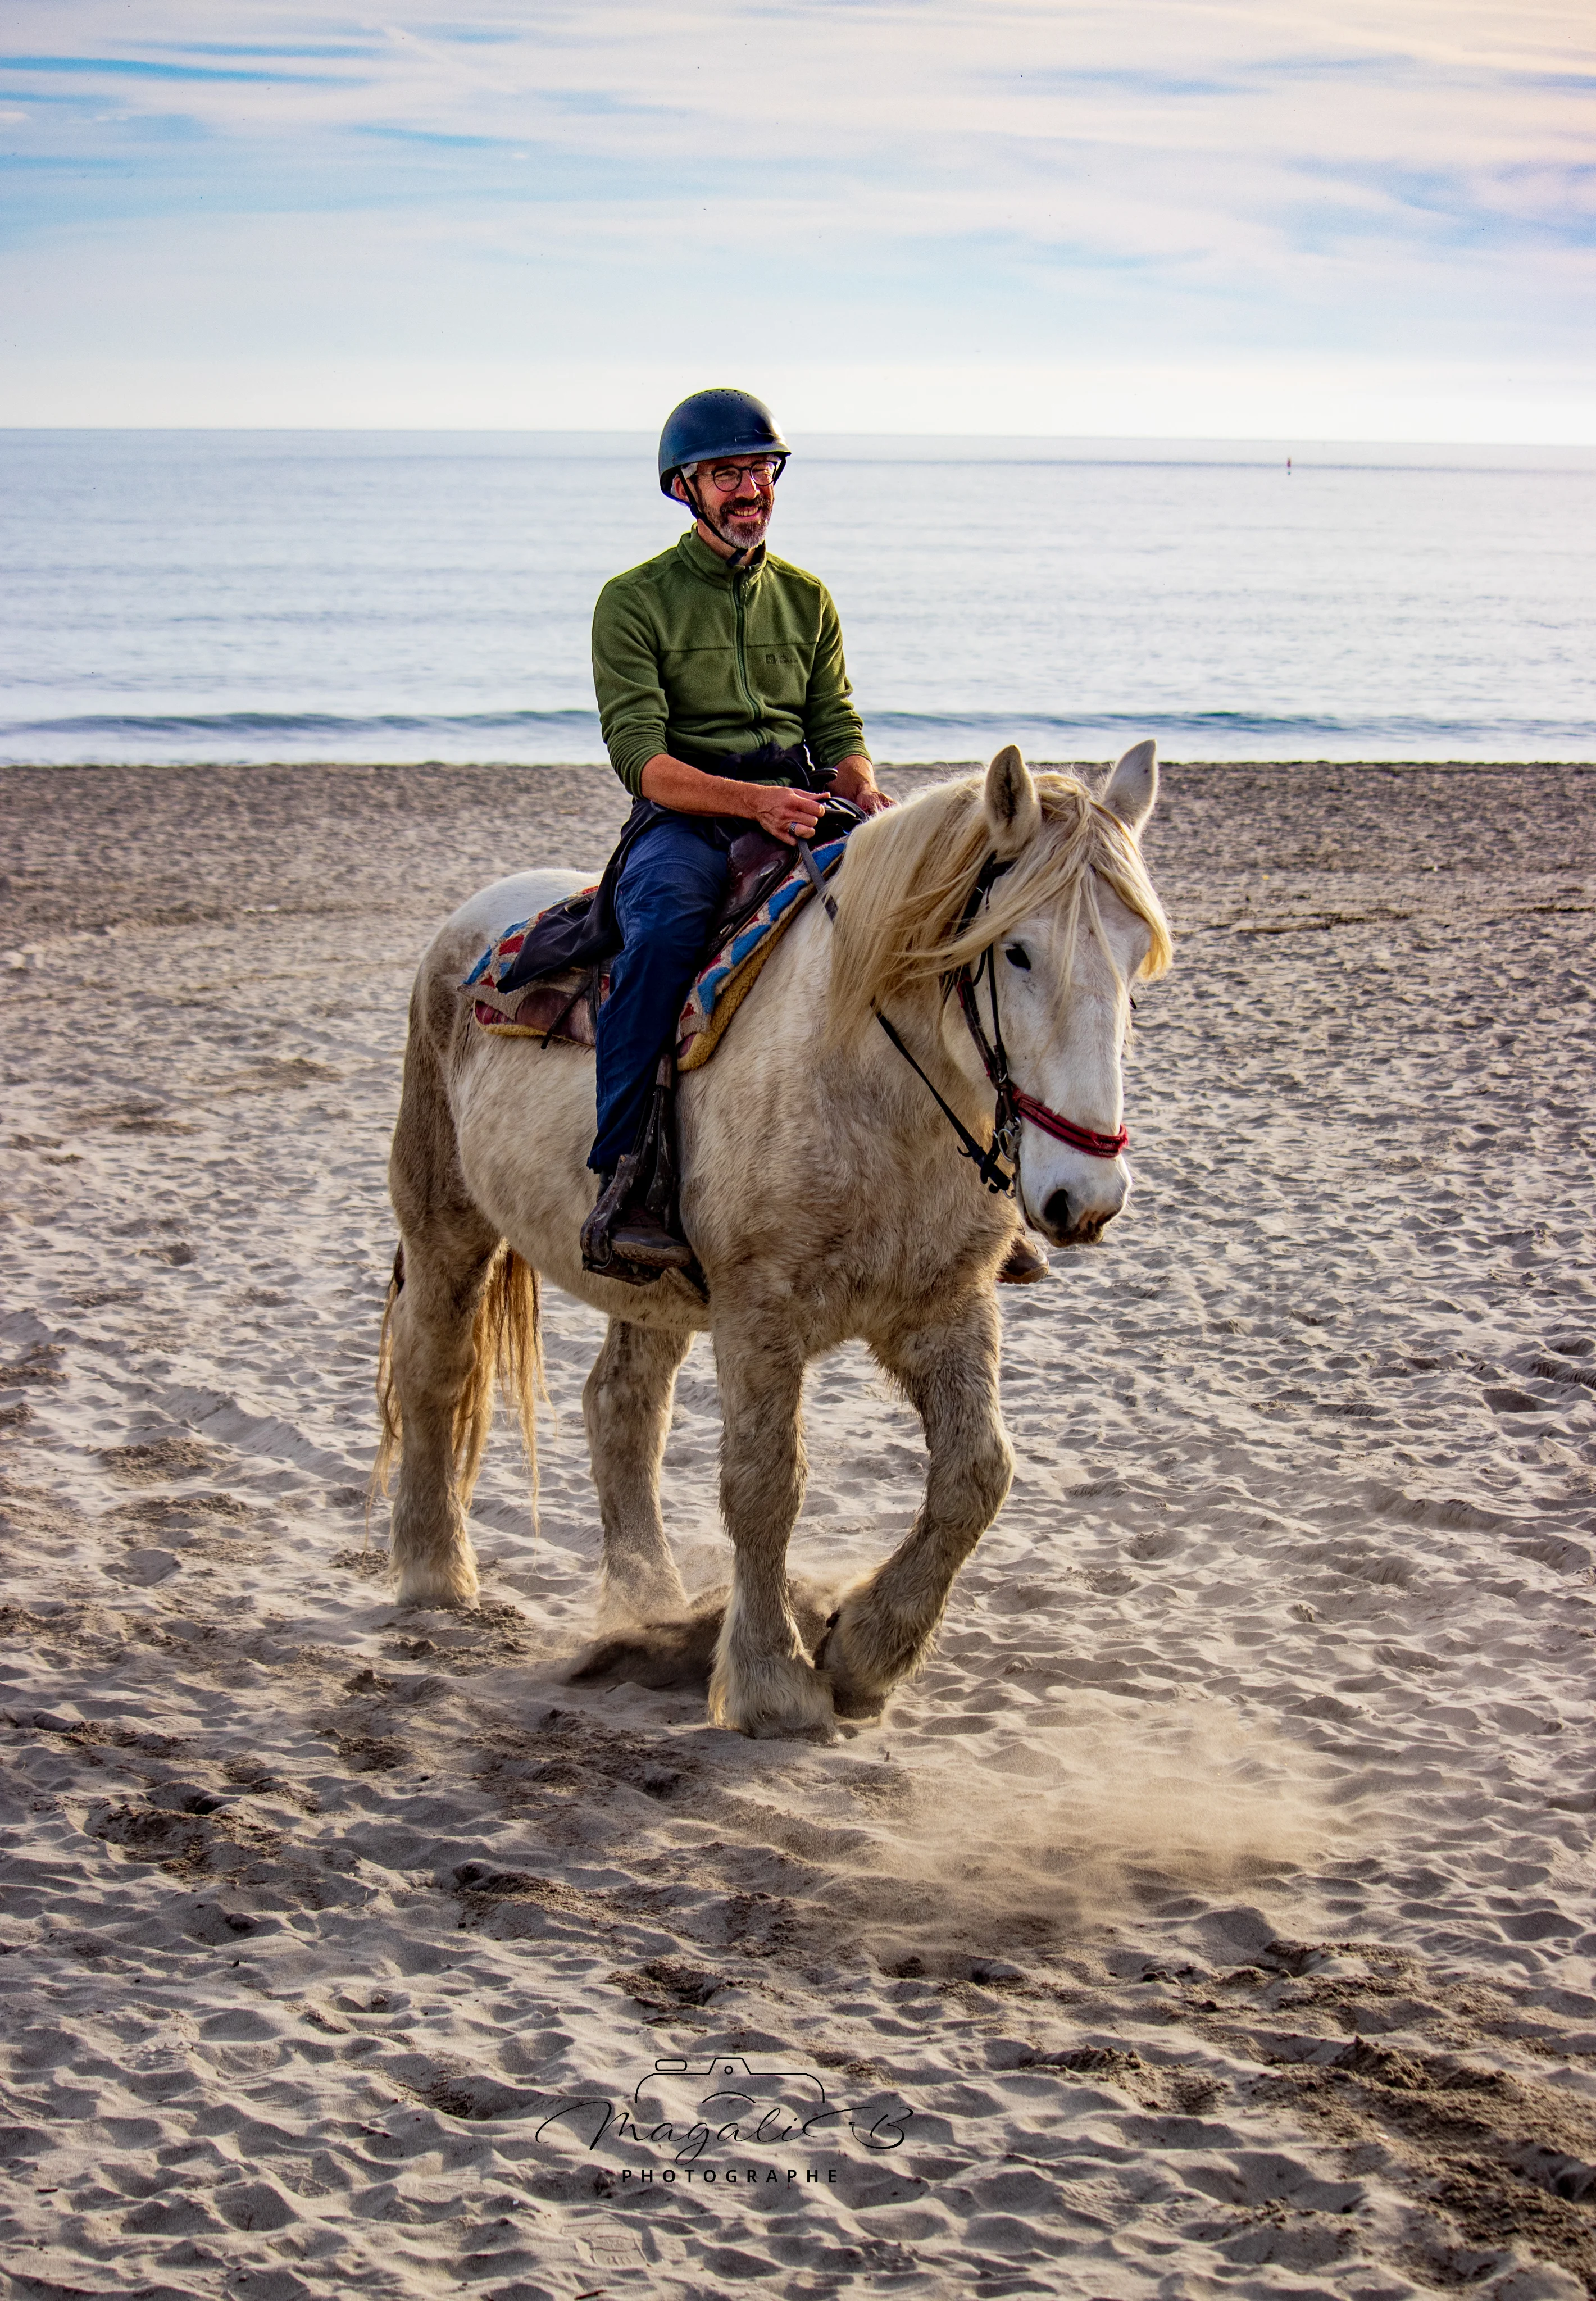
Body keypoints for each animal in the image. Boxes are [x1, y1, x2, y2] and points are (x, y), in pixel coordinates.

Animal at [373, 743, 1172, 1738]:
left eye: (1136, 959)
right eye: (1017, 951)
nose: (1085, 1198)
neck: (871, 1088)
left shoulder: (946, 1307)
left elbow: (976, 1475)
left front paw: (866, 1650)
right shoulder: (759, 1314)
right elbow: (763, 1484)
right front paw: (773, 1681)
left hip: (646, 1286)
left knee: (621, 1409)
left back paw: (651, 1606)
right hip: (445, 1219)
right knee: (435, 1370)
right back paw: (436, 1574)